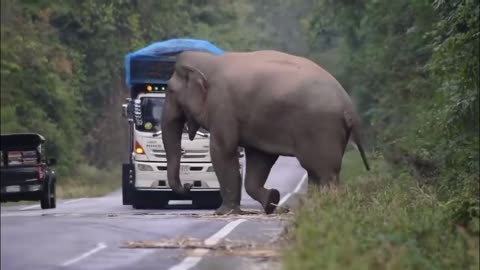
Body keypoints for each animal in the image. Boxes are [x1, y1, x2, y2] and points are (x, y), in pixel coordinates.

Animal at [161, 50, 372, 215]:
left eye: (170, 91)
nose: (188, 185)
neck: (209, 61)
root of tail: (349, 107)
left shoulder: (222, 106)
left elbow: (223, 150)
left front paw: (222, 212)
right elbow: (259, 159)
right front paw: (273, 200)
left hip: (321, 129)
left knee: (324, 172)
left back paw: (322, 208)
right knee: (317, 173)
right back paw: (311, 208)